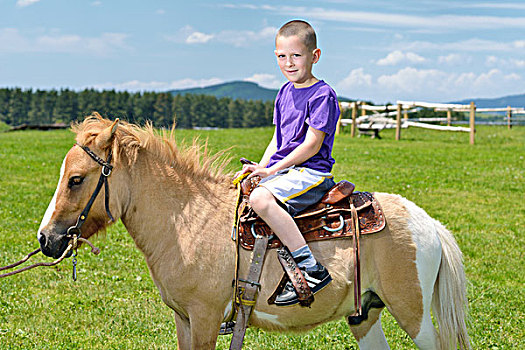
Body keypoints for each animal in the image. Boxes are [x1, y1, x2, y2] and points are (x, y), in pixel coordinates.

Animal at [37, 115, 470, 350]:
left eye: (76, 179)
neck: (187, 218)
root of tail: (428, 224)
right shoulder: (184, 319)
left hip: (413, 313)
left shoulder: (206, 317)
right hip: (365, 314)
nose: (45, 238)